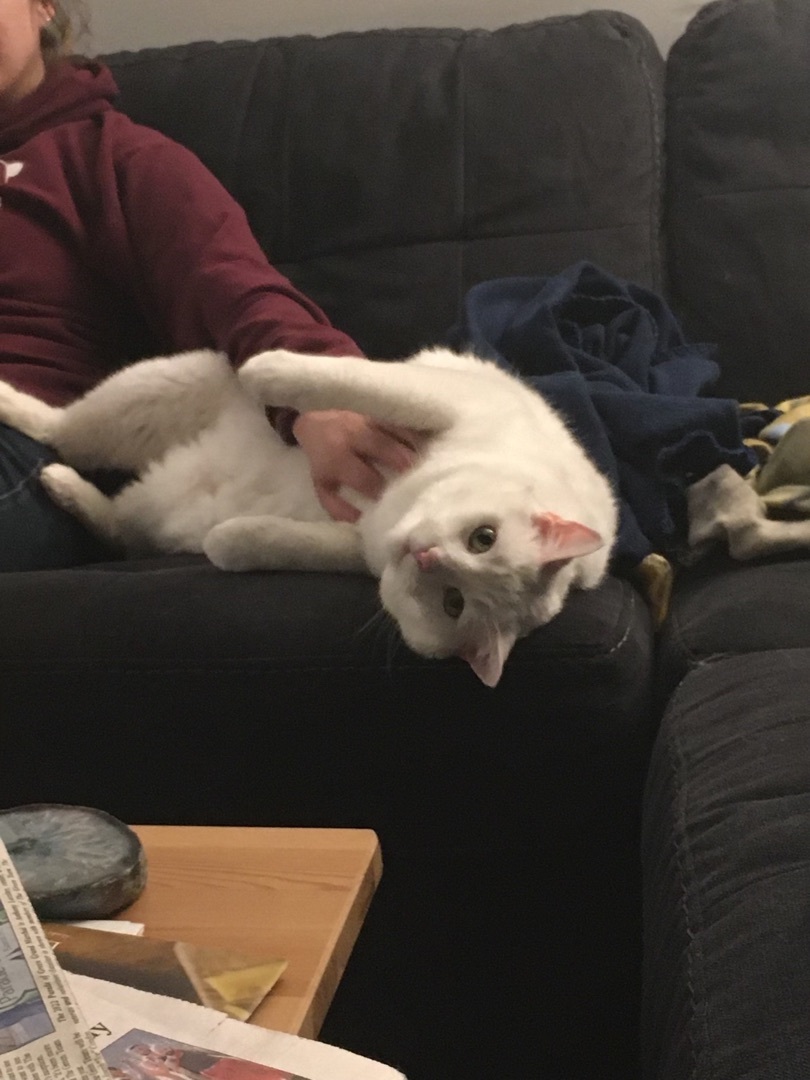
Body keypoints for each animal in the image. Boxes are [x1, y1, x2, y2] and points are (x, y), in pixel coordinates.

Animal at [0, 346, 617, 686]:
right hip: (177, 377)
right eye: (483, 537)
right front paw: (269, 370)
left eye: (453, 602)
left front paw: (229, 541)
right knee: (60, 427)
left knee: (115, 518)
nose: (423, 554)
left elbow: (253, 545)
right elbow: (352, 380)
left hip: (147, 505)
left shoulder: (356, 548)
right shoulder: (445, 399)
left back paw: (67, 487)